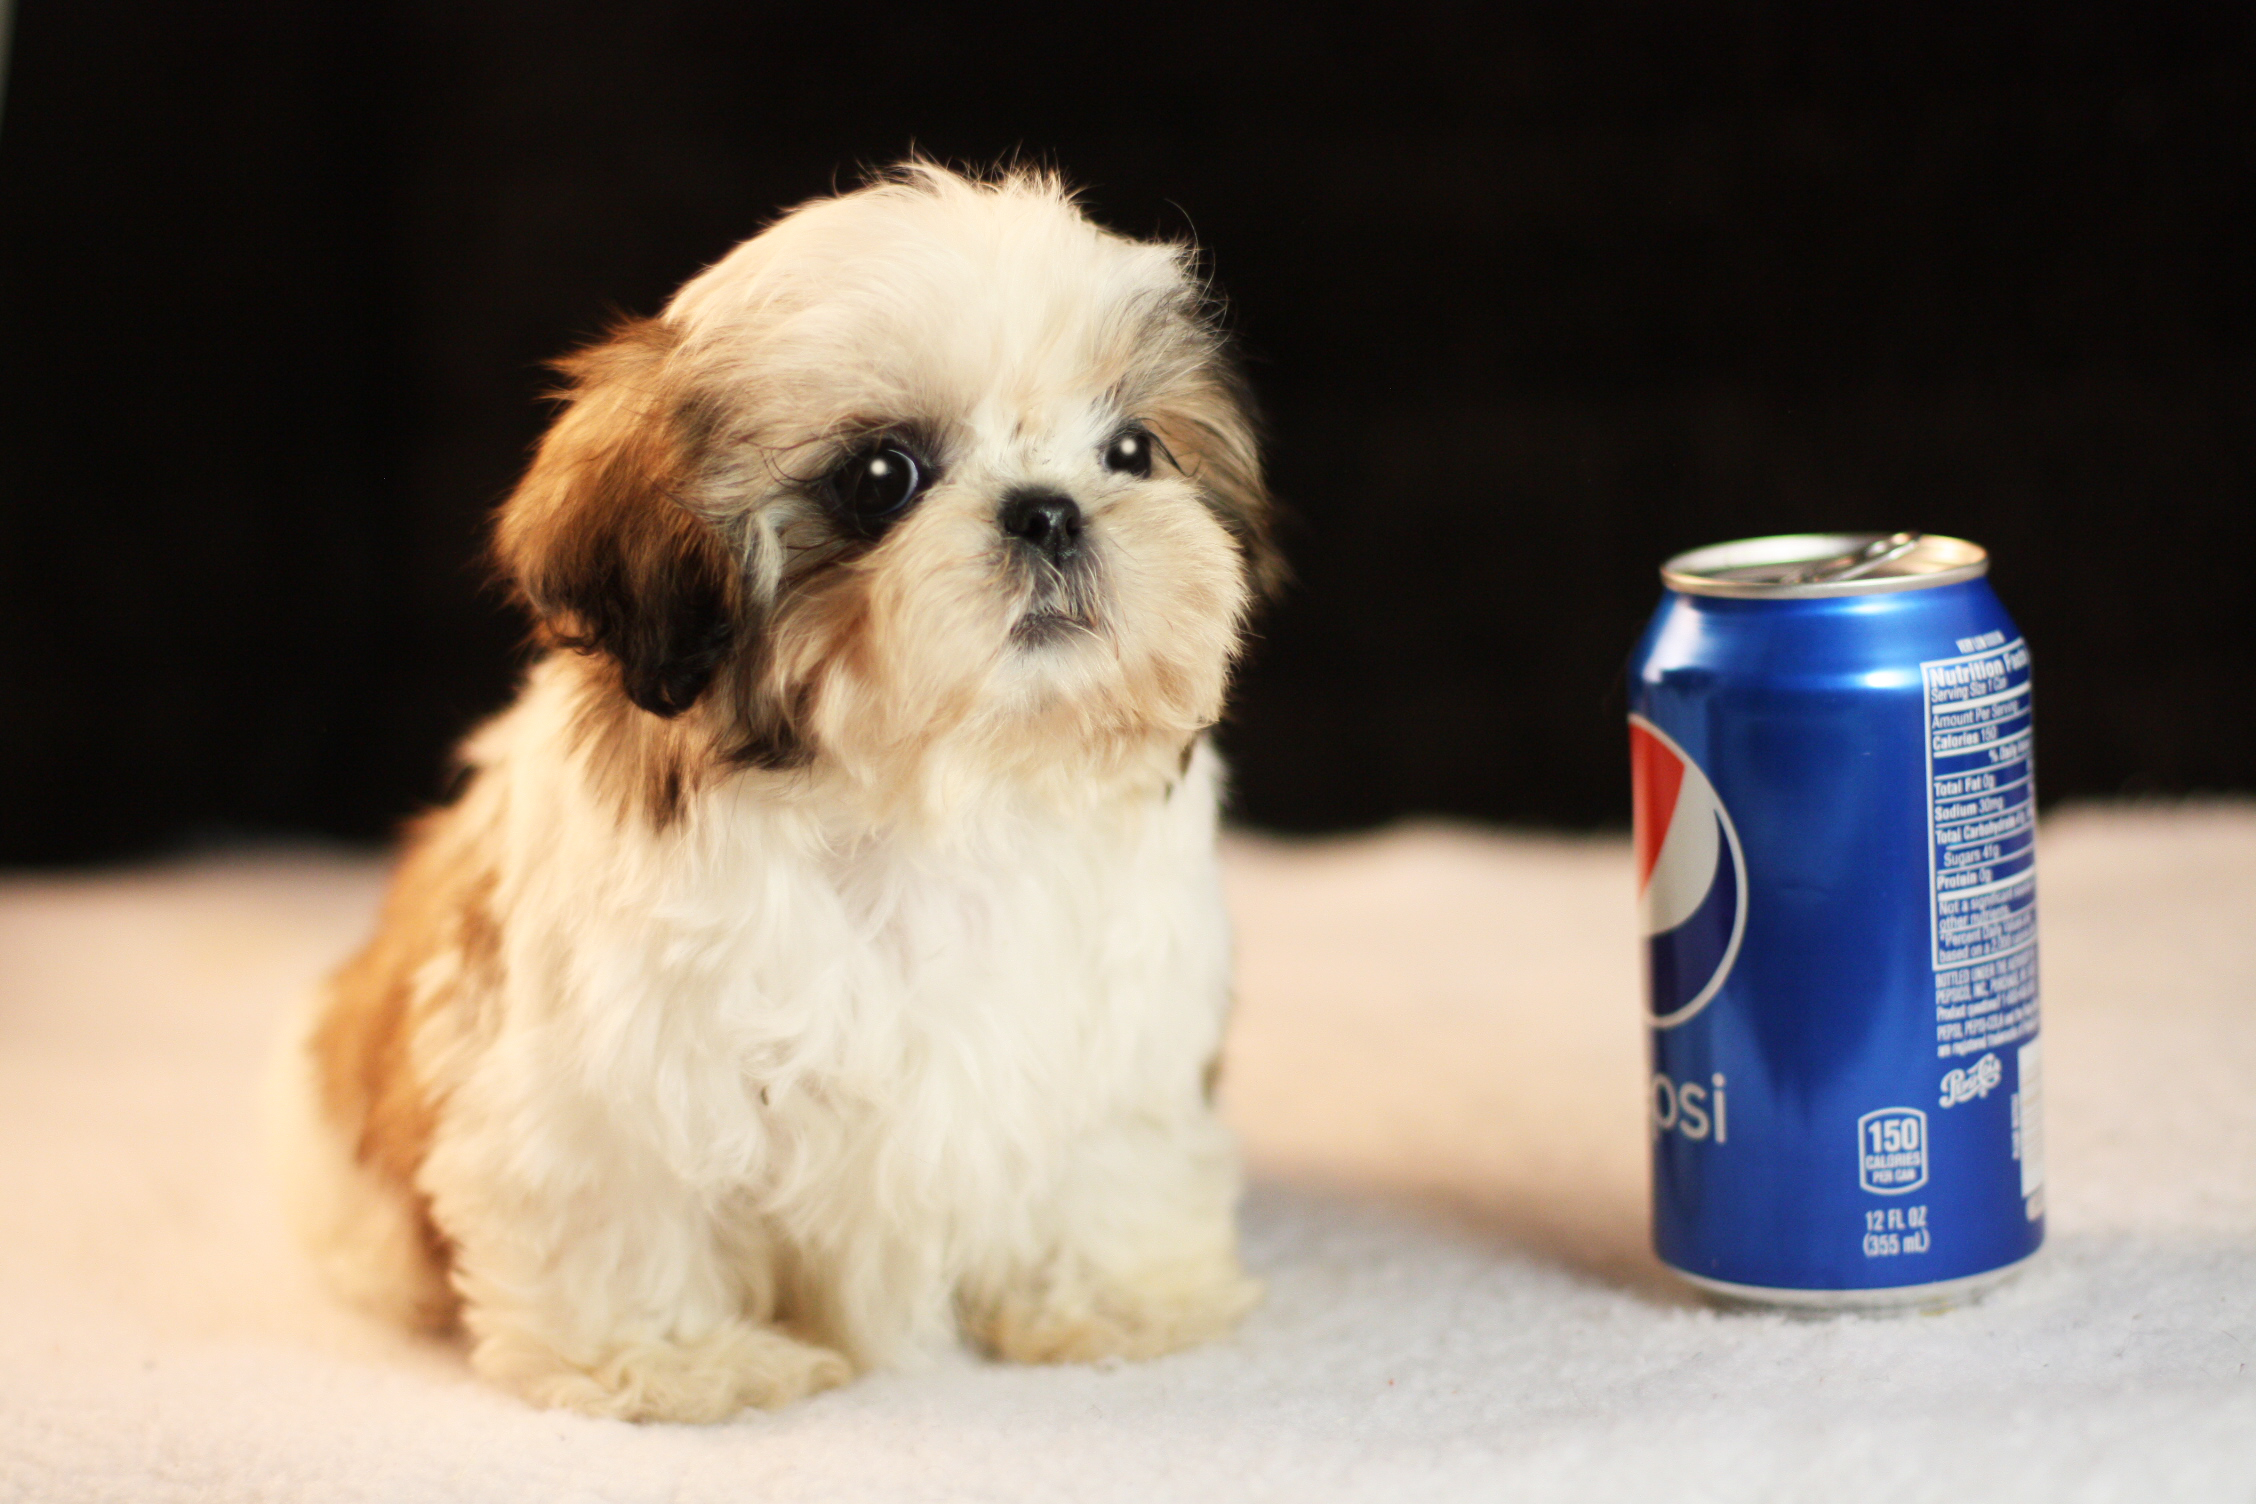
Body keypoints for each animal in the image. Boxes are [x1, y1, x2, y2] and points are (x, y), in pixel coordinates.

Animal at [272, 164, 1281, 1425]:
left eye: (1133, 451)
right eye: (882, 477)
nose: (1049, 508)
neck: (935, 800)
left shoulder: (1122, 1036)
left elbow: (1107, 1161)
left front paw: (1117, 1297)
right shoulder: (609, 1080)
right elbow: (630, 1209)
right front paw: (675, 1359)